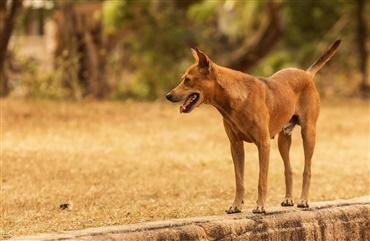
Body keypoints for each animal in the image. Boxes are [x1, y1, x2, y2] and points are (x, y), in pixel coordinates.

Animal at [166, 40, 342, 215]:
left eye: (187, 80)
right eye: (183, 79)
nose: (168, 96)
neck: (235, 98)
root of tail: (306, 74)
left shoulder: (263, 144)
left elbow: (261, 180)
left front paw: (260, 206)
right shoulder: (236, 146)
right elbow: (239, 180)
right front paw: (236, 205)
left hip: (308, 133)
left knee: (307, 169)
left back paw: (303, 200)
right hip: (283, 140)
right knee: (288, 169)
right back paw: (288, 198)